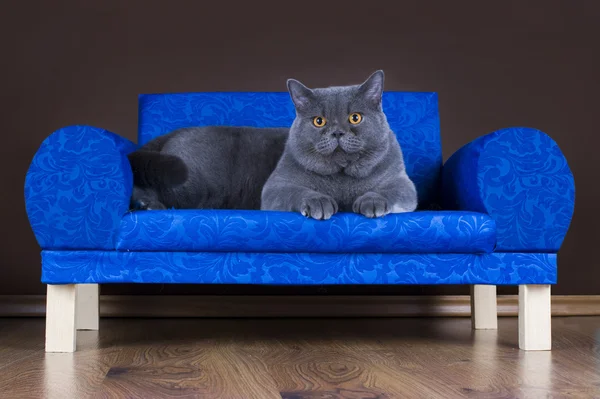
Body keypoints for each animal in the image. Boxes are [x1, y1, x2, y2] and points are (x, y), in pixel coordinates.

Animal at [262, 70, 418, 220]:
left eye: (355, 118)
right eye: (319, 121)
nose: (337, 132)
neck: (342, 177)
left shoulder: (400, 181)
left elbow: (389, 191)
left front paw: (373, 202)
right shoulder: (276, 185)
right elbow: (296, 191)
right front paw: (319, 202)